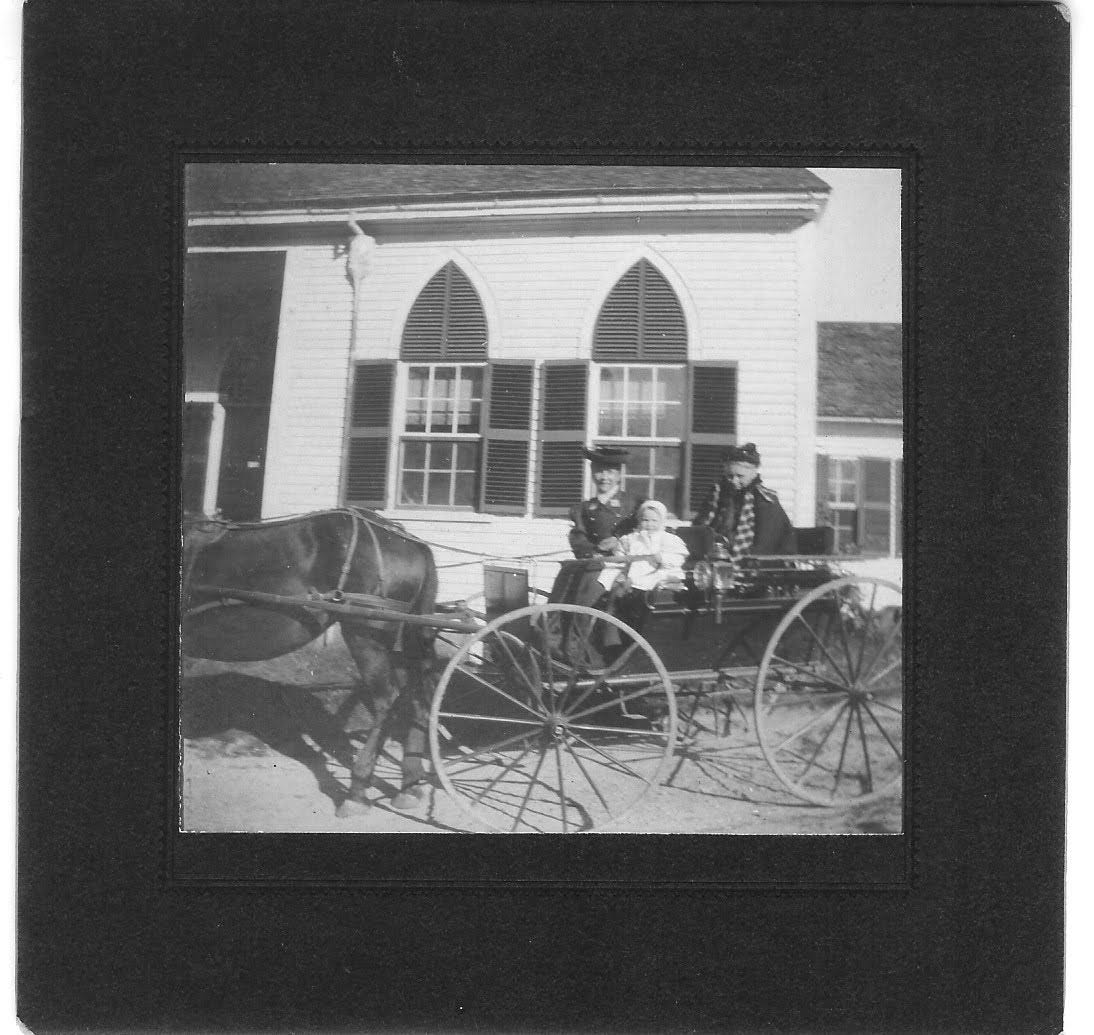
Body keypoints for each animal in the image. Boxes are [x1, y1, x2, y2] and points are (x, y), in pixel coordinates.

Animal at [181, 505, 437, 813]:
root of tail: (408, 539)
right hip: (401, 641)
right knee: (417, 700)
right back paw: (410, 785)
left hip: (365, 633)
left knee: (386, 701)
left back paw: (357, 791)